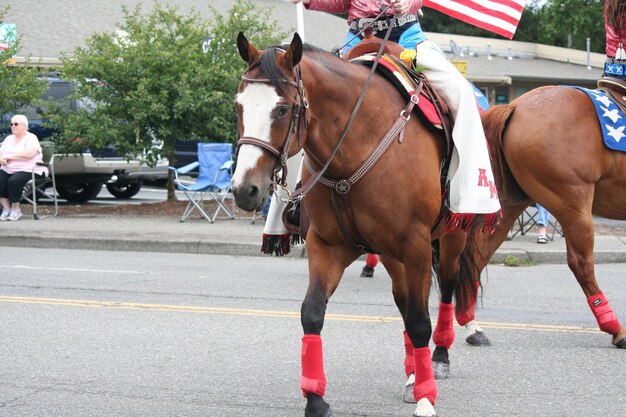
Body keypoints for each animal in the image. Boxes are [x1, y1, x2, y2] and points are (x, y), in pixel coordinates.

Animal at [232, 31, 490, 416]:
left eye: (282, 109)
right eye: (239, 106)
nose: (243, 189)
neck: (355, 146)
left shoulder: (416, 245)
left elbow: (420, 321)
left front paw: (426, 398)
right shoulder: (328, 246)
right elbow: (312, 313)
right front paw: (315, 398)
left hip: (449, 238)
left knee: (446, 287)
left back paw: (439, 359)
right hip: (392, 255)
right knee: (403, 301)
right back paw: (412, 372)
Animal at [468, 85, 624, 348]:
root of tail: (515, 106)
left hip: (510, 204)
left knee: (478, 255)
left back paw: (470, 325)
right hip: (574, 205)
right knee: (581, 264)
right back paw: (615, 327)